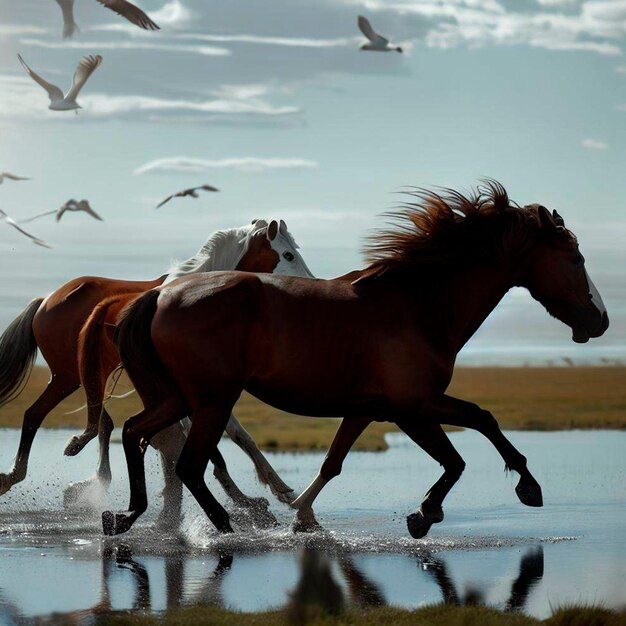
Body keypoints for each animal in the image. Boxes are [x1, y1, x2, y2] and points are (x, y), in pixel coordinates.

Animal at [101, 182, 604, 536]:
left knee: (135, 433)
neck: (417, 306)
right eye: (576, 259)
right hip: (212, 402)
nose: (599, 321)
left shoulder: (370, 410)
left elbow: (336, 461)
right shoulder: (412, 407)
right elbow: (461, 454)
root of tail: (161, 295)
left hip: (179, 398)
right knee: (187, 463)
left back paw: (125, 516)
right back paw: (225, 526)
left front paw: (303, 515)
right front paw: (428, 512)